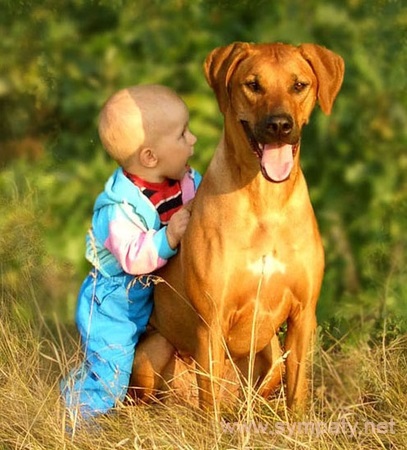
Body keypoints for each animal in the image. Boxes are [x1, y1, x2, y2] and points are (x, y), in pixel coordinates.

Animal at [130, 42, 344, 412]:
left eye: (299, 85)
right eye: (253, 85)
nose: (279, 125)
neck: (266, 199)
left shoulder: (304, 315)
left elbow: (297, 392)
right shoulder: (211, 320)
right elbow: (210, 405)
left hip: (272, 355)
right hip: (153, 351)